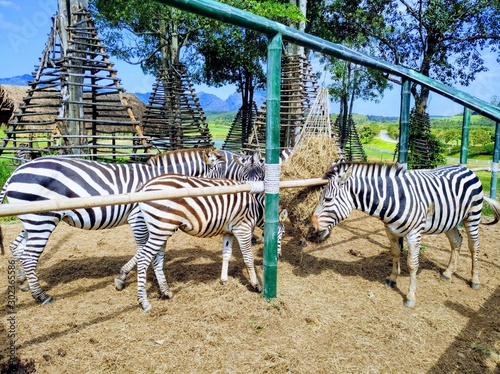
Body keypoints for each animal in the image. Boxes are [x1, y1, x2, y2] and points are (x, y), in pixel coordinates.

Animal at [0, 148, 226, 306]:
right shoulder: (138, 217)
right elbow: (142, 249)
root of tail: (15, 172)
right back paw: (41, 295)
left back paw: (23, 281)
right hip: (41, 220)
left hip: (32, 220)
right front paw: (123, 277)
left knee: (17, 248)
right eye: (219, 173)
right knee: (29, 256)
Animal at [134, 175, 290, 312]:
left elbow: (226, 254)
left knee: (156, 260)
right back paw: (144, 302)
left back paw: (165, 291)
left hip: (161, 230)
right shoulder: (243, 228)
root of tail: (146, 186)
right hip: (161, 228)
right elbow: (248, 258)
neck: (256, 207)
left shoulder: (228, 231)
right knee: (143, 258)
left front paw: (224, 280)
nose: (279, 257)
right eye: (282, 234)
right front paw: (256, 285)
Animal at [310, 162, 500, 308]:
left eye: (327, 199)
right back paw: (448, 272)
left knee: (474, 245)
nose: (311, 229)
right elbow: (395, 253)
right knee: (457, 241)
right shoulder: (390, 230)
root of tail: (466, 168)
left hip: (472, 216)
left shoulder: (415, 233)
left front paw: (410, 296)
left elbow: (412, 264)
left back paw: (475, 280)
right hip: (450, 220)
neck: (394, 198)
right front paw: (393, 278)